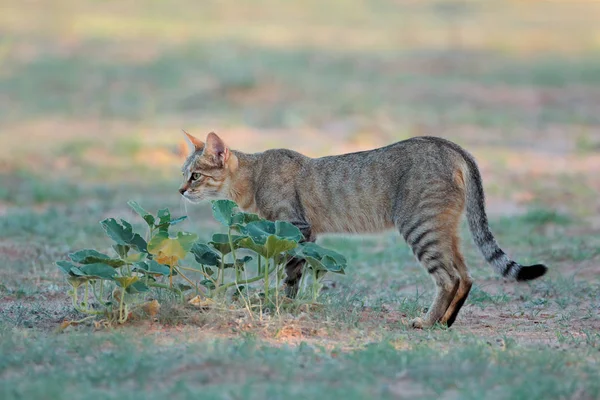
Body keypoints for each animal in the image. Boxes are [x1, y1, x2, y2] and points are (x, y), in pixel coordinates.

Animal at [179, 131, 548, 328]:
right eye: (184, 174)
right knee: (467, 275)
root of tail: (451, 146)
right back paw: (445, 322)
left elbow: (290, 276)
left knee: (449, 278)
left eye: (195, 176)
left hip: (420, 227)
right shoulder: (303, 235)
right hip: (445, 229)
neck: (253, 177)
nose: (180, 190)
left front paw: (279, 305)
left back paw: (427, 322)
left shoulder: (297, 229)